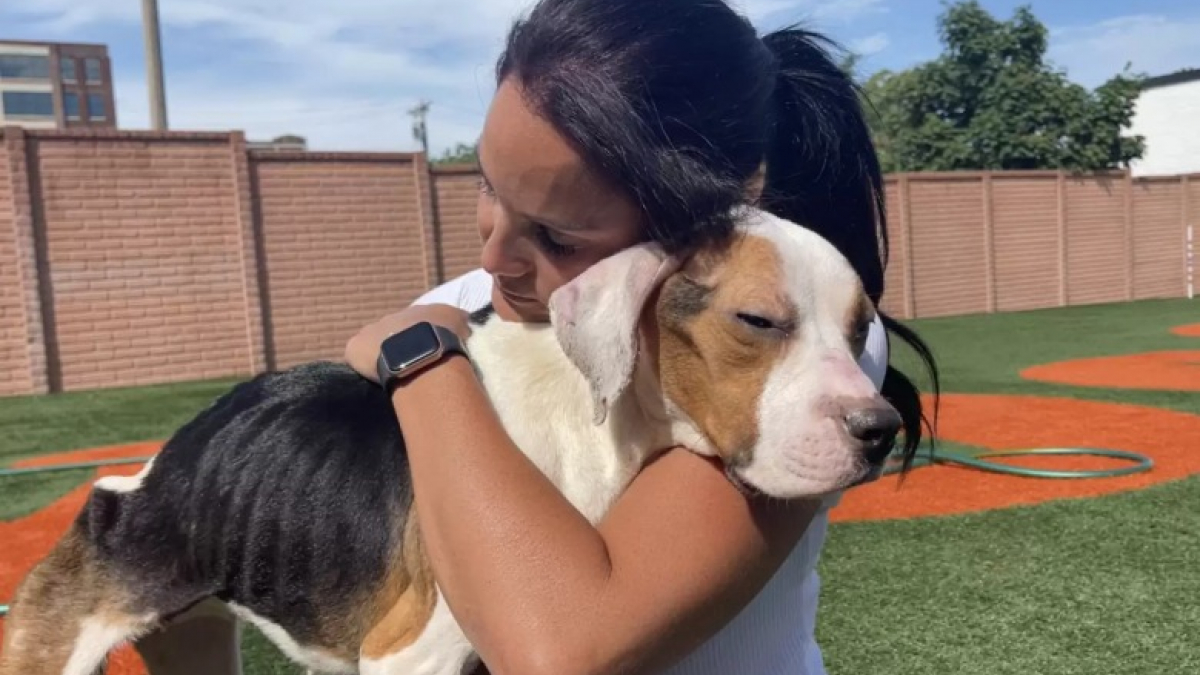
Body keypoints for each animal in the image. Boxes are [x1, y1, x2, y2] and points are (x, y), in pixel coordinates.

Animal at [0, 205, 902, 672]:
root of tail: (141, 481)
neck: (593, 426)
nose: (883, 430)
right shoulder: (410, 655)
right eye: (757, 320)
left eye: (864, 329)